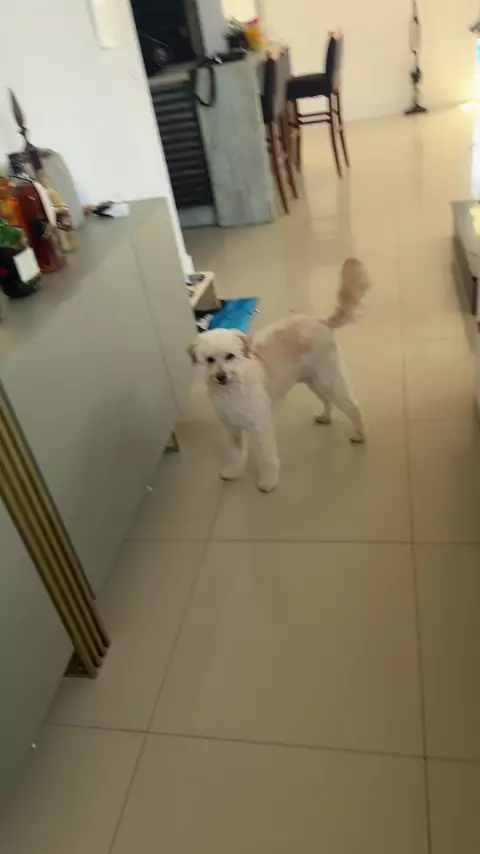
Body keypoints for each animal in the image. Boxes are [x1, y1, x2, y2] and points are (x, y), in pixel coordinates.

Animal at [188, 258, 371, 492]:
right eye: (209, 359)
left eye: (230, 356)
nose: (221, 376)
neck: (232, 392)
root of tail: (321, 322)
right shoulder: (232, 430)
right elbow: (236, 454)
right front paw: (233, 472)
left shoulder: (261, 427)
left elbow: (267, 458)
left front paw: (268, 482)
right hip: (313, 380)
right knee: (327, 401)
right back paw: (325, 417)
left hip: (328, 379)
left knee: (353, 406)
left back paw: (359, 434)